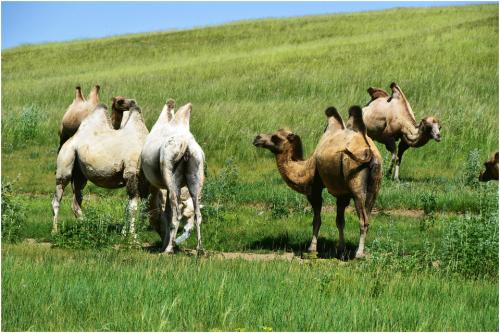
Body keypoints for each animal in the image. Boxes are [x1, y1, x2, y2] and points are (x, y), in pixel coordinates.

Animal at [52, 97, 148, 237]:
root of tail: (69, 141)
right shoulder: (131, 173)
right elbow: (133, 206)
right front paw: (132, 235)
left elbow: (135, 205)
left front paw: (126, 232)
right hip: (66, 160)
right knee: (58, 194)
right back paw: (55, 231)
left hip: (80, 173)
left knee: (77, 200)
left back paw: (87, 227)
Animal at [254, 105, 382, 258]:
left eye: (275, 137)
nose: (257, 138)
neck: (306, 167)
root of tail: (370, 152)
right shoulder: (342, 193)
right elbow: (340, 221)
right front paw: (341, 249)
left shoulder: (314, 189)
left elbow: (317, 220)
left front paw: (312, 248)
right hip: (375, 186)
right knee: (368, 216)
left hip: (356, 183)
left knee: (363, 220)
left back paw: (359, 254)